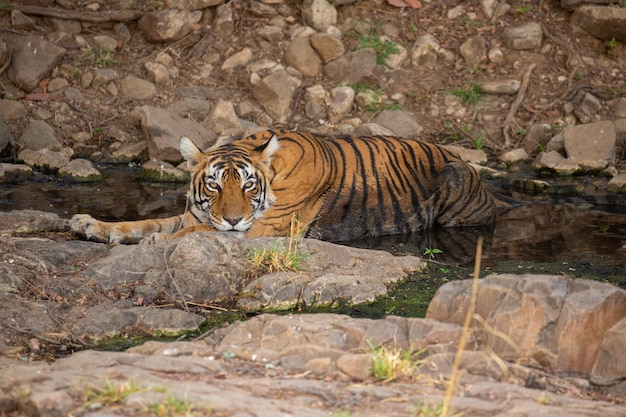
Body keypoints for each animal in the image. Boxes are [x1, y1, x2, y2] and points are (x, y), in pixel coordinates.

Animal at [70, 128, 494, 242]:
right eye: (214, 186)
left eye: (247, 186)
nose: (233, 219)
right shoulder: (199, 215)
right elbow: (146, 223)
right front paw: (91, 224)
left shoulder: (260, 229)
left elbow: (193, 234)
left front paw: (160, 241)